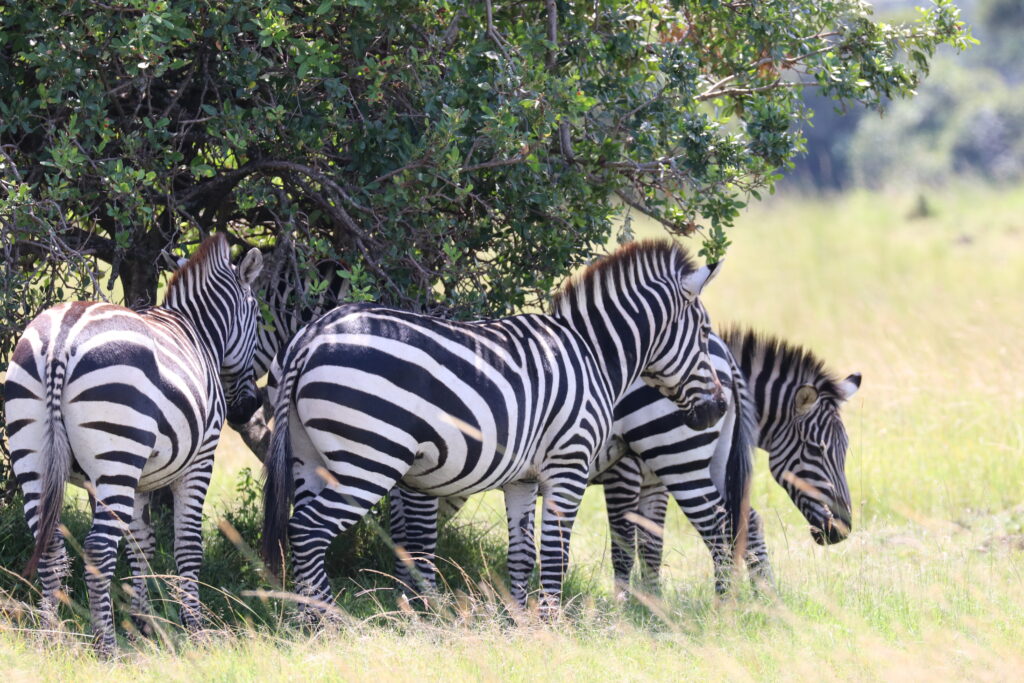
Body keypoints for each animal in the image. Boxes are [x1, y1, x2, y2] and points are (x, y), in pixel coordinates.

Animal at [3, 236, 264, 655]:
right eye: (256, 316)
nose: (250, 407)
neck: (199, 333)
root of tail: (62, 338)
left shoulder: (141, 477)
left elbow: (141, 544)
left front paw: (144, 624)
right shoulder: (201, 459)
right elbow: (187, 546)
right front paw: (195, 629)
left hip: (34, 456)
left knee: (51, 545)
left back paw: (49, 638)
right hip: (116, 458)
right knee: (97, 549)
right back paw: (106, 649)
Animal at [387, 333, 757, 602]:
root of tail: (719, 346)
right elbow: (400, 531)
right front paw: (403, 593)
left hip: (675, 454)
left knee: (719, 524)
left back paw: (721, 606)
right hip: (704, 459)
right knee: (741, 516)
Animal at [598, 325, 860, 593]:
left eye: (844, 451)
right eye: (815, 449)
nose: (842, 529)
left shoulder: (657, 480)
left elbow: (651, 545)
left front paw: (649, 600)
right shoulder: (624, 471)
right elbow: (625, 543)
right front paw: (629, 602)